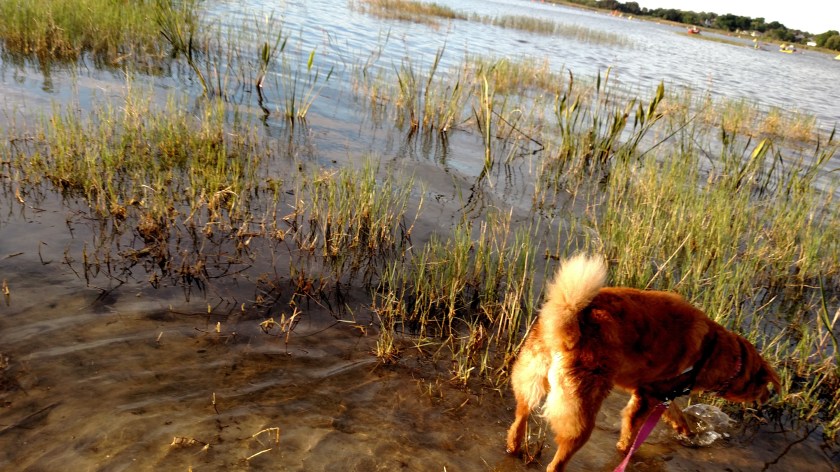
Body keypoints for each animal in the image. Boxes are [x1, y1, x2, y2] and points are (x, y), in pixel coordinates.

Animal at [506, 254, 781, 471]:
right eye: (763, 385)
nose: (768, 398)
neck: (712, 349)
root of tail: (571, 320)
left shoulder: (660, 392)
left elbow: (676, 413)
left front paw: (687, 432)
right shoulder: (646, 398)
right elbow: (630, 434)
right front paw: (626, 452)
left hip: (530, 382)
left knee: (519, 420)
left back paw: (513, 447)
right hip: (580, 417)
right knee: (556, 463)